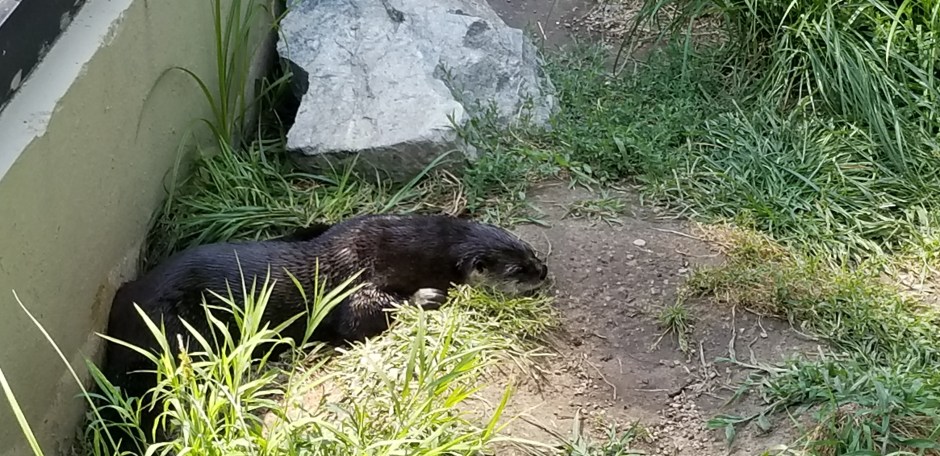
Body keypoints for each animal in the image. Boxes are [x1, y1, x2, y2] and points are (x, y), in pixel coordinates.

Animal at [99, 213, 547, 449]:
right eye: (518, 269)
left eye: (531, 251)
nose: (543, 271)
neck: (393, 246)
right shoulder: (355, 281)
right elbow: (362, 317)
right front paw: (428, 296)